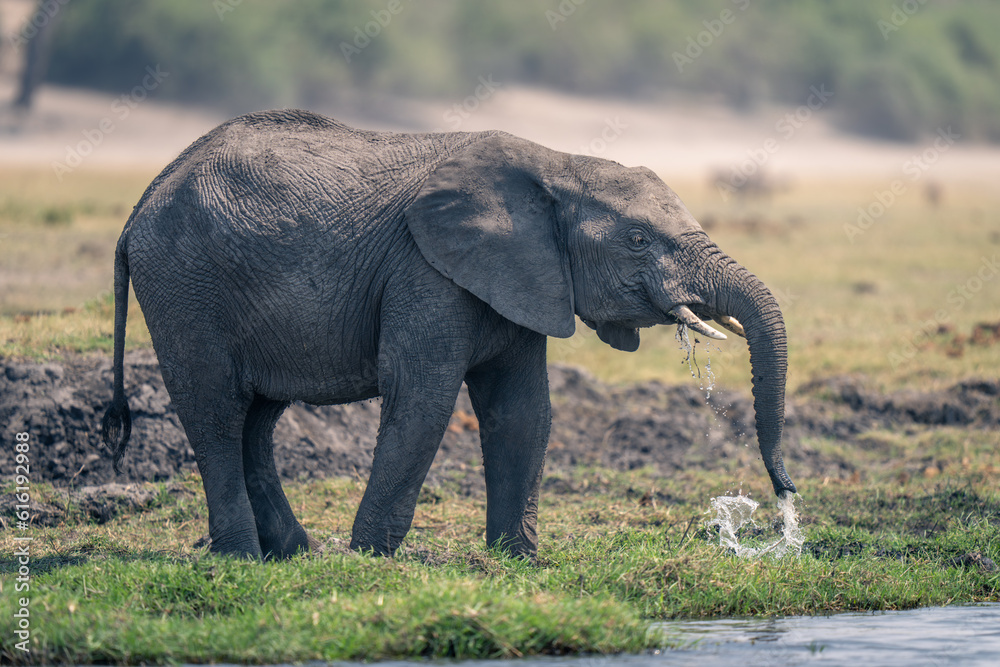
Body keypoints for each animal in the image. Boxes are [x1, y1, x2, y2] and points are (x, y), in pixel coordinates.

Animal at [101, 109, 795, 561]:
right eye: (638, 239)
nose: (785, 502)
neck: (556, 163)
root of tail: (141, 203)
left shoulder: (524, 276)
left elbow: (523, 410)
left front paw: (518, 562)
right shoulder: (425, 268)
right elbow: (424, 399)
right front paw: (369, 562)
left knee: (257, 419)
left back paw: (292, 554)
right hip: (185, 288)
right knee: (216, 411)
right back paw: (242, 559)